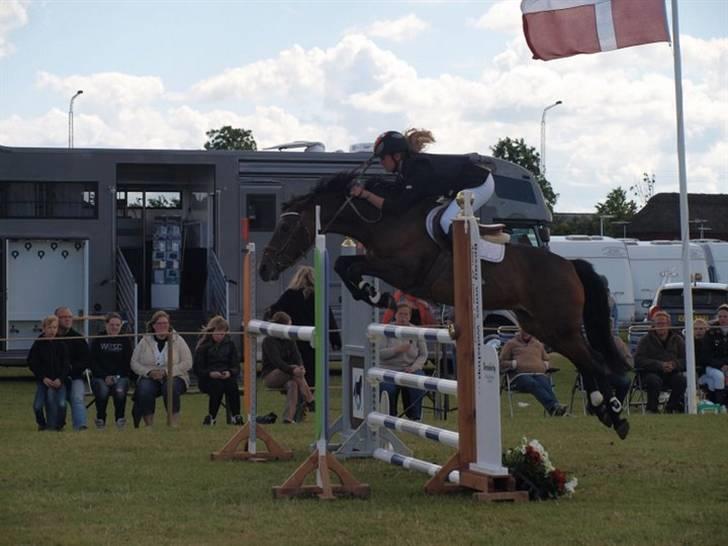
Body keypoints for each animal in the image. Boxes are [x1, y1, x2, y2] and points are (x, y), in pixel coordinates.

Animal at [260, 172, 632, 436]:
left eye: (287, 226)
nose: (264, 269)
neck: (388, 221)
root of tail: (569, 265)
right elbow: (344, 265)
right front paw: (373, 294)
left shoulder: (402, 270)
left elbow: (349, 266)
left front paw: (374, 294)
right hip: (542, 327)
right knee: (587, 360)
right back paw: (602, 407)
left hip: (559, 326)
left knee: (596, 361)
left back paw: (616, 414)